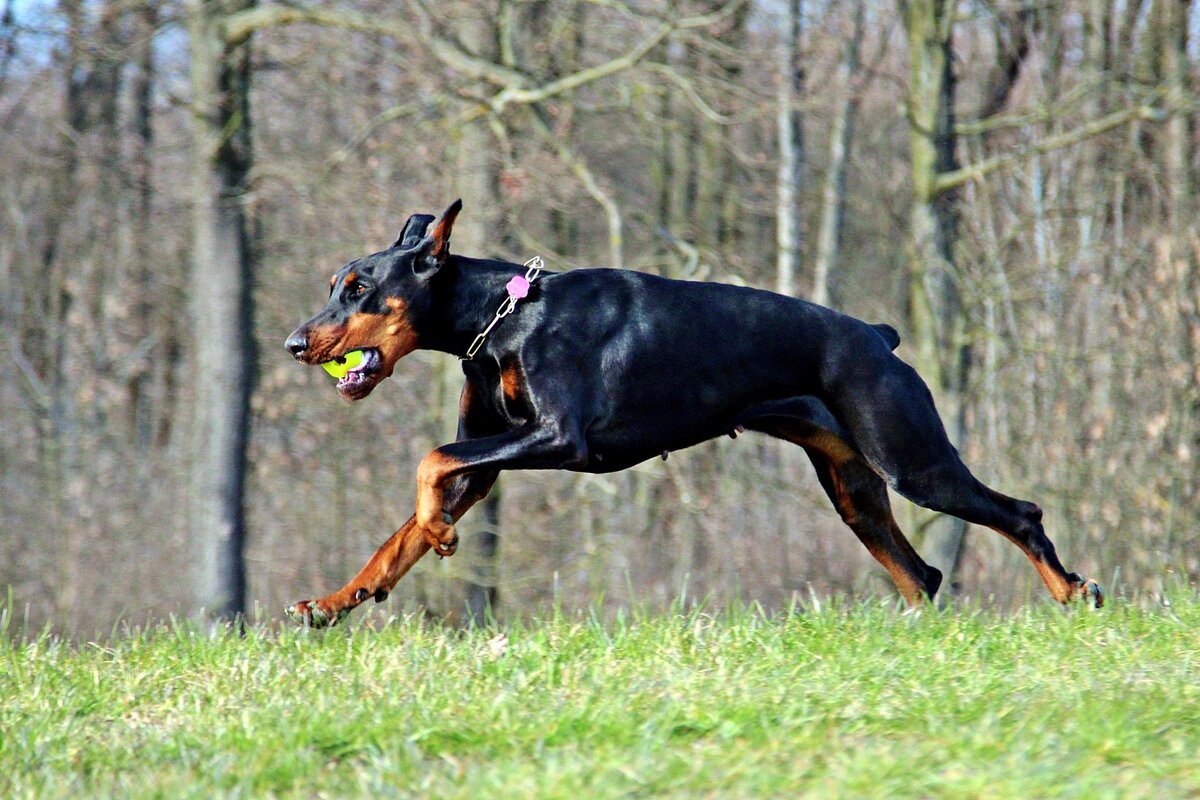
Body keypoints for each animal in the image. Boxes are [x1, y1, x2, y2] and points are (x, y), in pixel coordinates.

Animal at [283, 199, 1104, 623]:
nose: (295, 342)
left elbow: (430, 461)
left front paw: (439, 532)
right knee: (923, 575)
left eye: (359, 288)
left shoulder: (560, 439)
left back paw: (1073, 590)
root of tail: (876, 336)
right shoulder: (492, 452)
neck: (503, 318)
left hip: (912, 459)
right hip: (856, 491)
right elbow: (401, 531)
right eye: (334, 285)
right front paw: (336, 600)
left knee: (1019, 513)